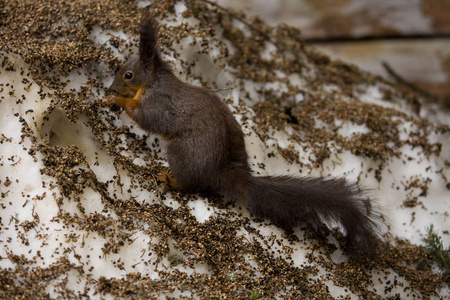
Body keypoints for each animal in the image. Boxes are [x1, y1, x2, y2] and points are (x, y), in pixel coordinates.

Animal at [106, 14, 384, 255]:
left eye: (128, 75)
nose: (112, 87)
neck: (153, 81)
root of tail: (223, 172)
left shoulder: (159, 103)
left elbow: (146, 118)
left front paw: (118, 100)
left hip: (181, 152)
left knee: (190, 182)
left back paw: (170, 179)